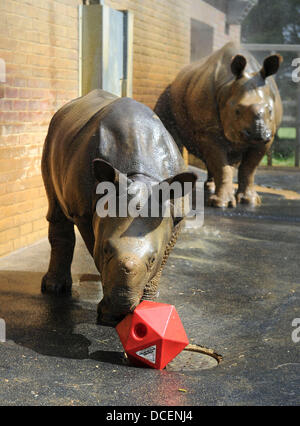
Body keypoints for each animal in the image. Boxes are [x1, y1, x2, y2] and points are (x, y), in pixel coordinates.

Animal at [42, 88, 197, 324]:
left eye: (152, 258)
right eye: (106, 250)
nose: (119, 313)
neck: (140, 176)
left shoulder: (176, 217)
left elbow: (162, 262)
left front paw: (149, 303)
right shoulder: (85, 213)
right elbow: (92, 246)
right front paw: (106, 314)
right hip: (51, 136)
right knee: (56, 208)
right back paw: (53, 289)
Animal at [156, 42, 282, 208]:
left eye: (270, 110)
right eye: (237, 111)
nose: (258, 133)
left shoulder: (269, 135)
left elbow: (249, 168)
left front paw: (251, 201)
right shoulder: (209, 131)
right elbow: (221, 165)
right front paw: (221, 204)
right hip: (168, 93)